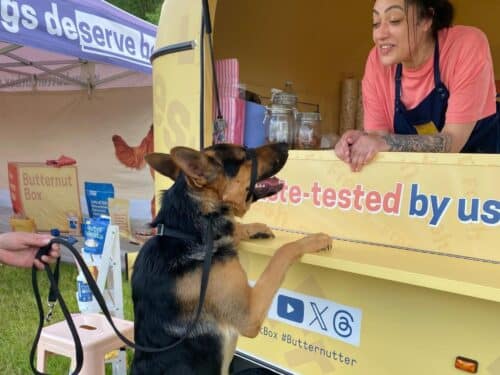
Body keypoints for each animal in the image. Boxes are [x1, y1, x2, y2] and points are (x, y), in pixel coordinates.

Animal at [131, 142, 330, 374]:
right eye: (245, 156)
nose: (285, 144)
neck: (187, 232)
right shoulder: (250, 314)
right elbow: (283, 252)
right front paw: (314, 240)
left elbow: (235, 226)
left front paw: (255, 228)